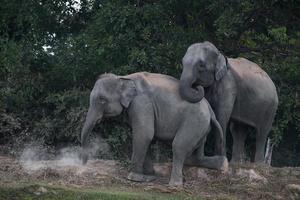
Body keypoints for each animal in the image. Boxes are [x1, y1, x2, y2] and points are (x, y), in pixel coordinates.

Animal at [79, 71, 227, 186]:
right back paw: (223, 164)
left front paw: (134, 178)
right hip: (202, 127)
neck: (123, 77)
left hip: (195, 121)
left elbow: (144, 135)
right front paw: (150, 177)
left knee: (178, 146)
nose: (83, 163)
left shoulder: (141, 103)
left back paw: (174, 185)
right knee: (195, 155)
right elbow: (148, 138)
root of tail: (210, 110)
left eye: (102, 99)